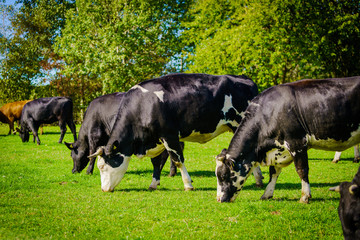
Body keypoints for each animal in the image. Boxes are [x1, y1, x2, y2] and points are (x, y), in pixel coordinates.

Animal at [89, 73, 264, 193]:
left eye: (103, 166)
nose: (104, 189)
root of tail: (243, 77)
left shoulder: (169, 135)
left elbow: (178, 160)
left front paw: (188, 184)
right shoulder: (156, 140)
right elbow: (156, 163)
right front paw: (153, 184)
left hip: (240, 124)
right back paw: (259, 180)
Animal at [215, 76, 360, 202]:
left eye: (223, 176)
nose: (219, 199)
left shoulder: (297, 143)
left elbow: (302, 170)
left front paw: (305, 196)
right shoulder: (276, 149)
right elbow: (273, 172)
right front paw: (267, 194)